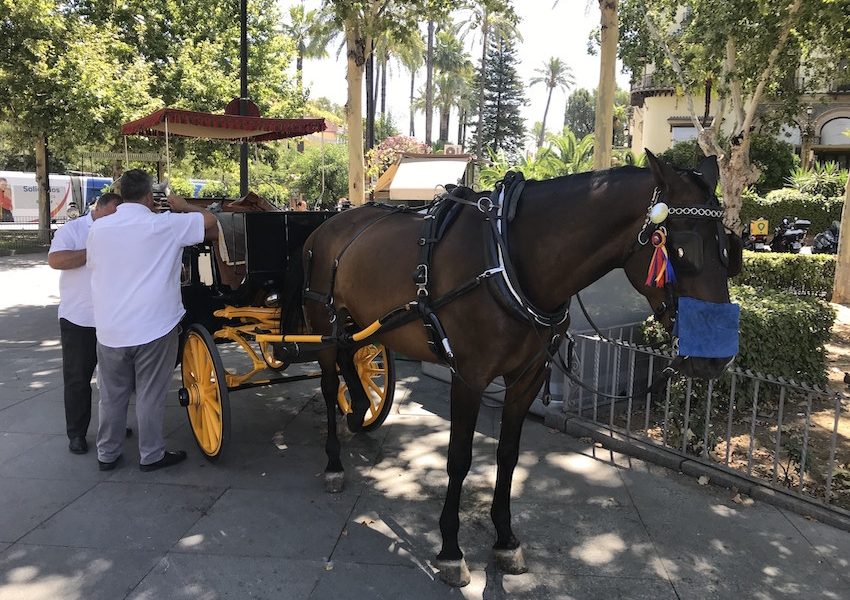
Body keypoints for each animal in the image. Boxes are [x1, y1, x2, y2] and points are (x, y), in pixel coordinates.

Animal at [301, 151, 740, 586]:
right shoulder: (469, 378)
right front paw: (450, 550)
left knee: (352, 360)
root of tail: (329, 224)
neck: (508, 257)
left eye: (730, 250)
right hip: (324, 325)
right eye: (683, 250)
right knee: (329, 384)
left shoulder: (529, 377)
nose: (718, 357)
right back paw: (334, 462)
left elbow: (508, 455)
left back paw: (359, 410)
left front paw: (505, 539)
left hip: (355, 324)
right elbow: (458, 459)